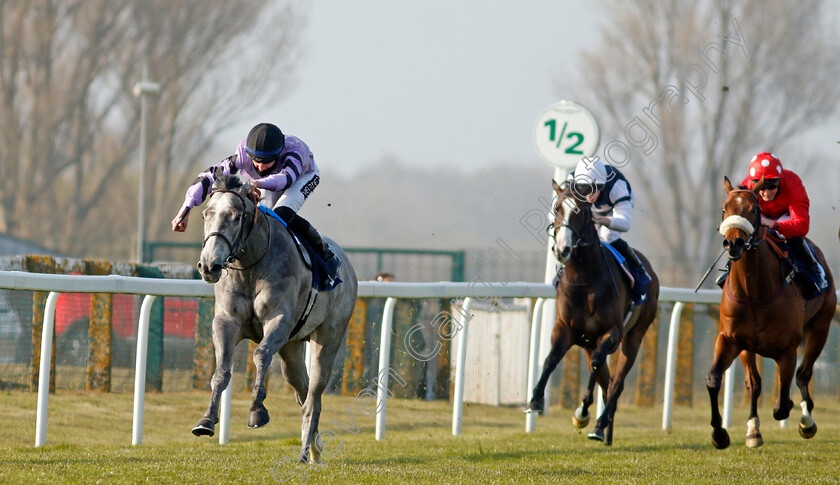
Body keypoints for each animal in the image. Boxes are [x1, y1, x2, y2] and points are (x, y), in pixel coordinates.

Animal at [190, 172, 358, 464]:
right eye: (205, 214)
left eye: (236, 216)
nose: (209, 265)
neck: (250, 266)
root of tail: (347, 263)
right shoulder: (226, 322)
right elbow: (221, 371)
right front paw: (207, 420)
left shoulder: (279, 321)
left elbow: (260, 354)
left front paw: (257, 411)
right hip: (291, 350)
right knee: (303, 392)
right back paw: (314, 450)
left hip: (329, 338)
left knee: (314, 396)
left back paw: (304, 454)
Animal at [528, 180, 660, 444]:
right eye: (557, 208)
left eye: (580, 212)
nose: (562, 249)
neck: (585, 281)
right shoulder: (564, 328)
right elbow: (550, 359)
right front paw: (535, 400)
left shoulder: (612, 333)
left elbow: (599, 364)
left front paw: (582, 411)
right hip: (589, 343)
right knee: (606, 382)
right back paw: (604, 431)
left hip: (634, 336)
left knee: (616, 383)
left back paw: (599, 423)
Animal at [704, 176, 836, 448]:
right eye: (724, 209)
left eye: (754, 210)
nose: (734, 243)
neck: (754, 292)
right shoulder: (731, 339)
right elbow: (715, 379)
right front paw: (721, 433)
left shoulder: (787, 348)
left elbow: (782, 403)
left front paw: (793, 410)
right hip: (748, 348)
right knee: (756, 384)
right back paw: (754, 430)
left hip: (820, 327)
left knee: (803, 374)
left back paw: (806, 421)